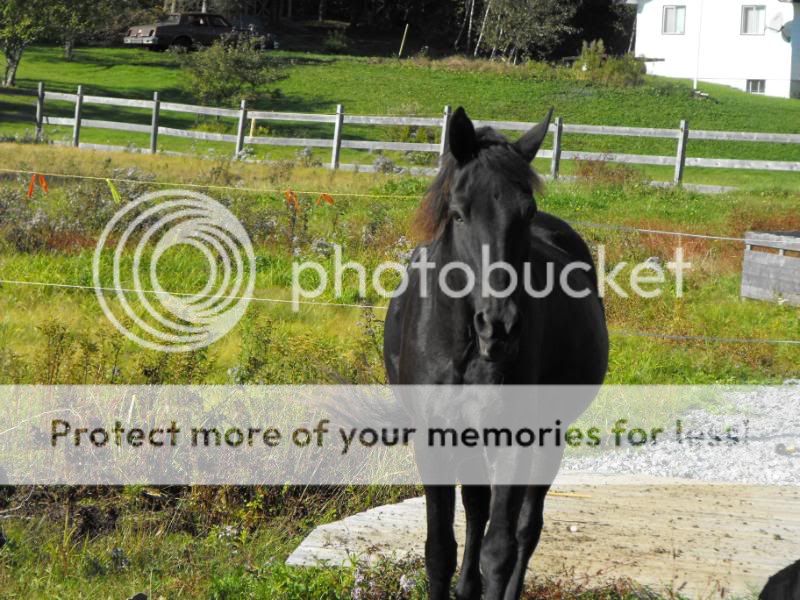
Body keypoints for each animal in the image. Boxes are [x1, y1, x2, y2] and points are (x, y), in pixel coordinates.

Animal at [384, 109, 608, 600]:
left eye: (527, 212)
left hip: (549, 435)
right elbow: (440, 549)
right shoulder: (433, 437)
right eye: (458, 213)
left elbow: (500, 550)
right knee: (477, 506)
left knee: (526, 527)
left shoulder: (516, 438)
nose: (499, 327)